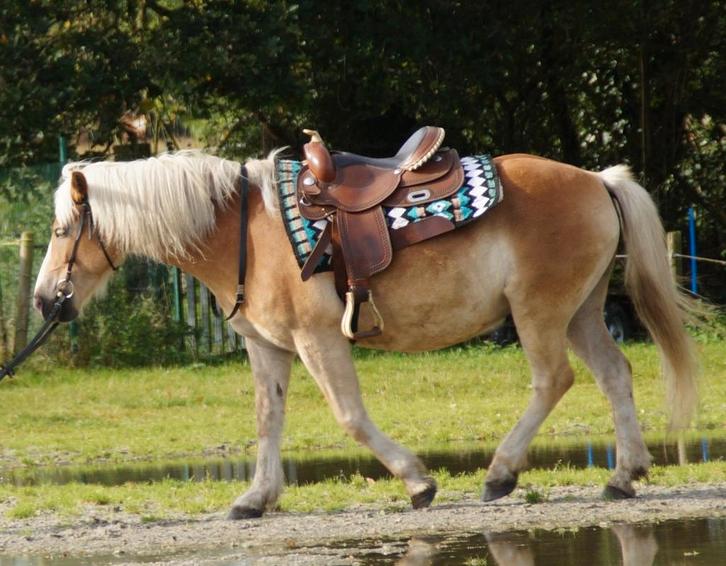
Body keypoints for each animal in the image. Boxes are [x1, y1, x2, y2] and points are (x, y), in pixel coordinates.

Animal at [33, 149, 697, 519]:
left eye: (64, 229)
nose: (43, 300)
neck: (242, 231)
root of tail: (596, 178)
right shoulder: (267, 346)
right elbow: (267, 419)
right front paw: (256, 498)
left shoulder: (317, 339)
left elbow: (349, 415)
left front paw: (418, 482)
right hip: (581, 311)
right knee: (614, 374)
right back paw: (624, 475)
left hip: (540, 312)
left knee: (552, 379)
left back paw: (501, 473)